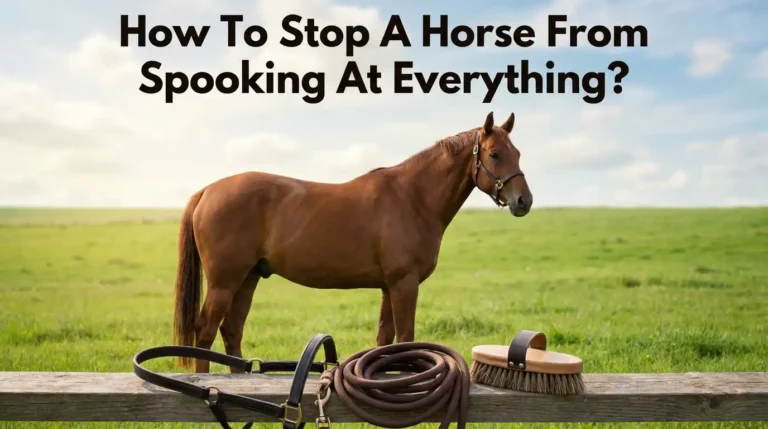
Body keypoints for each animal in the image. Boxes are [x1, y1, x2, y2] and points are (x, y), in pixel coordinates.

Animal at [173, 111, 533, 372]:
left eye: (517, 153)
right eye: (495, 154)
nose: (524, 201)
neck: (411, 197)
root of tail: (208, 190)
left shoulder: (390, 286)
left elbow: (386, 340)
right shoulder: (404, 283)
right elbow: (406, 337)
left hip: (248, 277)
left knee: (231, 331)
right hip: (224, 282)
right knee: (205, 332)